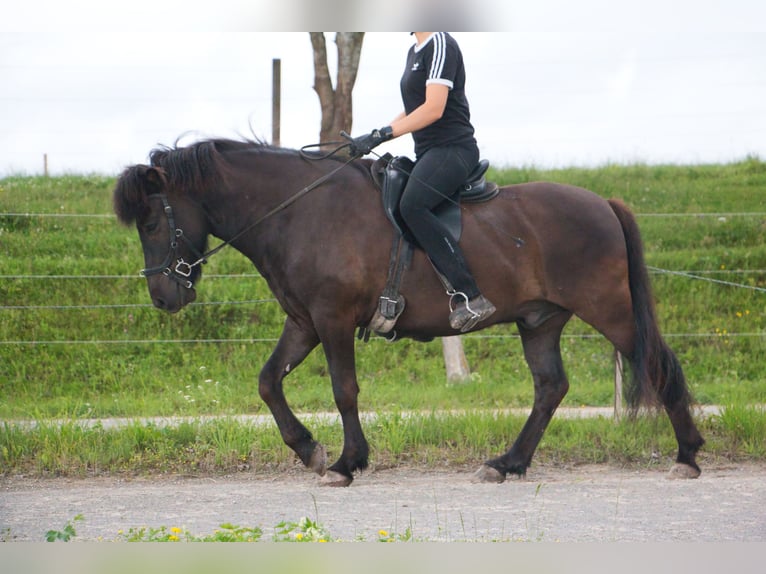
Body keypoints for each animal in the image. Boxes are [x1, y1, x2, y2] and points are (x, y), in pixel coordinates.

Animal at [114, 138, 708, 486]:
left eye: (152, 222)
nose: (163, 297)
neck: (299, 211)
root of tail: (602, 202)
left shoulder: (332, 320)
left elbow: (344, 390)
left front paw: (346, 462)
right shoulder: (304, 323)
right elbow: (267, 382)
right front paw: (308, 449)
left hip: (609, 310)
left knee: (657, 364)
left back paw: (687, 455)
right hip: (540, 321)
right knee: (550, 387)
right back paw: (508, 463)